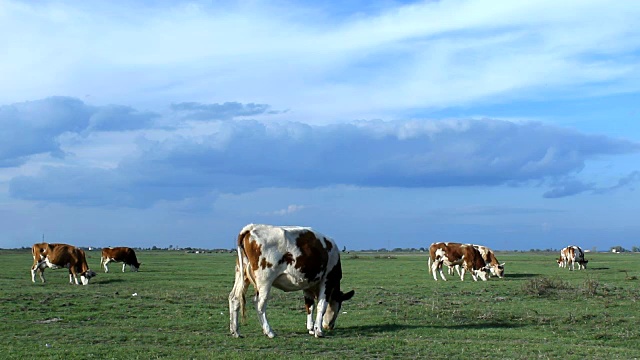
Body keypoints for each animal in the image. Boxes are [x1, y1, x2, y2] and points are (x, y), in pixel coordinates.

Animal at [228, 224, 356, 338]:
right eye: (339, 306)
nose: (330, 326)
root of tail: (251, 228)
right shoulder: (327, 280)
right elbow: (321, 306)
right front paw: (318, 331)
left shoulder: (308, 285)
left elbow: (309, 306)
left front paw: (311, 328)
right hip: (265, 280)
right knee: (259, 303)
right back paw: (269, 332)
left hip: (242, 275)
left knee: (235, 298)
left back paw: (235, 331)